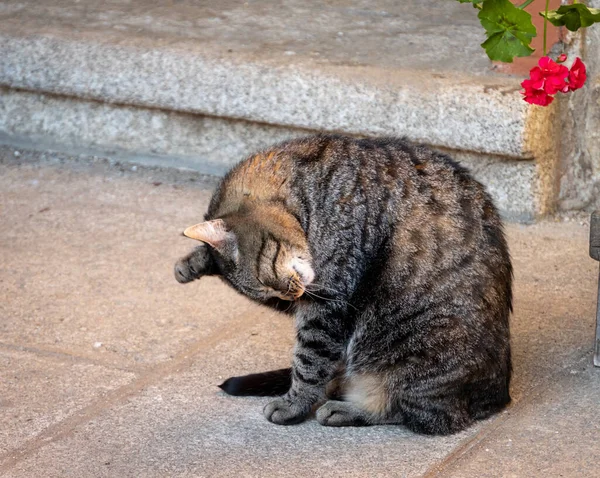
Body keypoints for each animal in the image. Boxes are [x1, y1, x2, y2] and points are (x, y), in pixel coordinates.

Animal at [173, 133, 510, 436]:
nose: (291, 293)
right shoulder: (309, 299)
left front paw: (292, 404)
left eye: (268, 281)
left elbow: (308, 361)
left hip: (419, 358)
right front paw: (193, 262)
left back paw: (346, 408)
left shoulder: (328, 301)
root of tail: (497, 398)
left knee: (416, 415)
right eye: (270, 294)